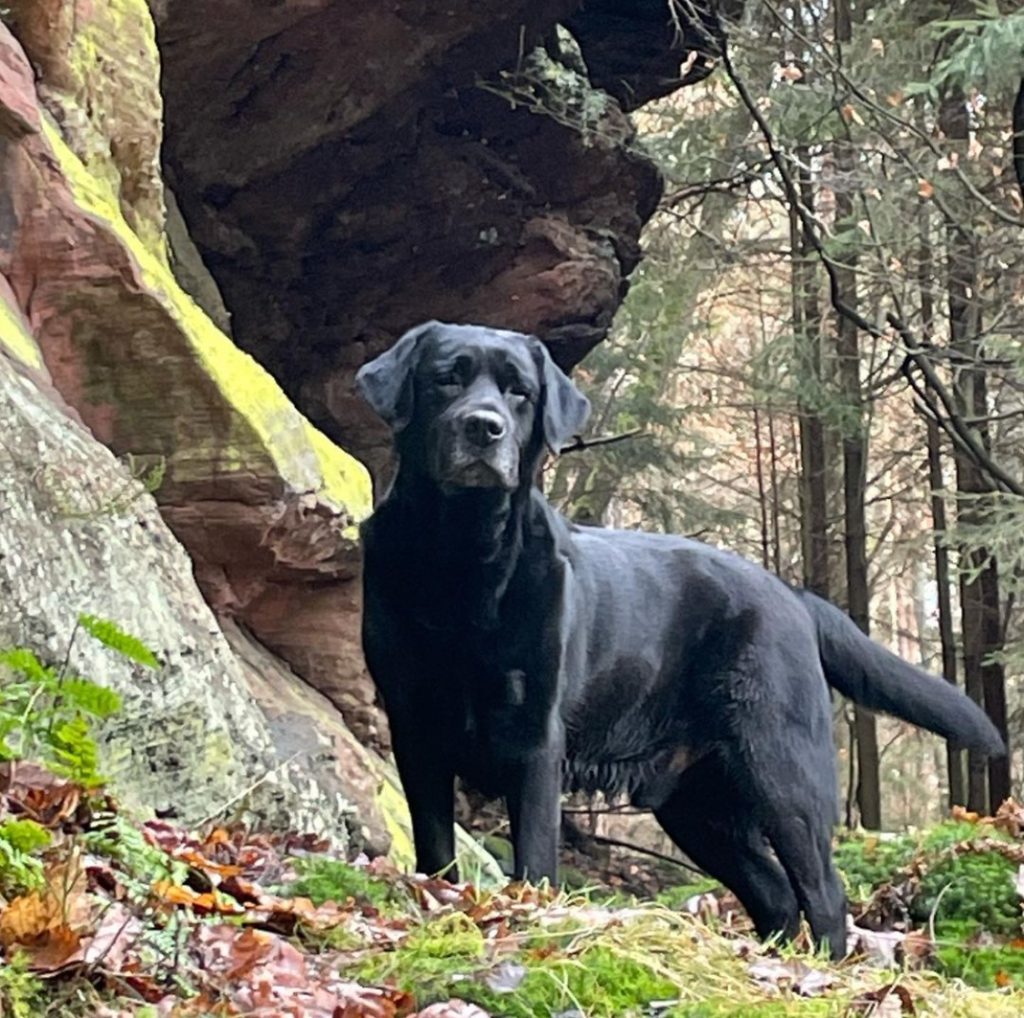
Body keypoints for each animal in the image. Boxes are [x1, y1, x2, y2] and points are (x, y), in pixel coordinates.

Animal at [356, 321, 1003, 954]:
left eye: (520, 392)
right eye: (447, 378)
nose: (483, 427)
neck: (464, 562)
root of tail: (792, 595)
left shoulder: (536, 738)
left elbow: (535, 854)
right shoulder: (414, 728)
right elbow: (435, 847)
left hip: (783, 772)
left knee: (824, 894)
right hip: (698, 809)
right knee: (775, 894)